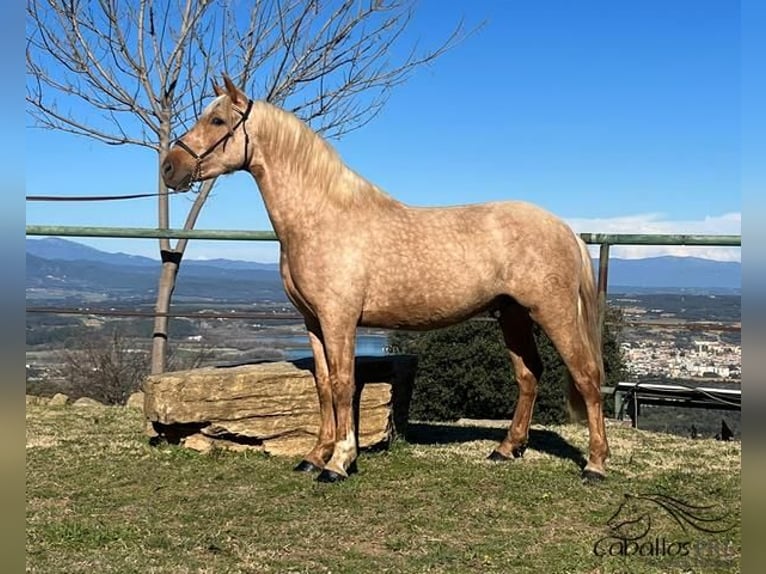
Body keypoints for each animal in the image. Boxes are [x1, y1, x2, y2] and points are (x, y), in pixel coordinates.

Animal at [164, 74, 612, 484]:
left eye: (218, 120)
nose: (170, 167)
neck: (322, 217)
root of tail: (566, 229)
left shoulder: (339, 319)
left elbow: (343, 384)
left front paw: (338, 463)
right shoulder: (312, 321)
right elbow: (322, 385)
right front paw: (314, 456)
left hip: (553, 312)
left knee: (587, 376)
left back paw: (595, 464)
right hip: (513, 315)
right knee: (528, 375)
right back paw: (506, 449)